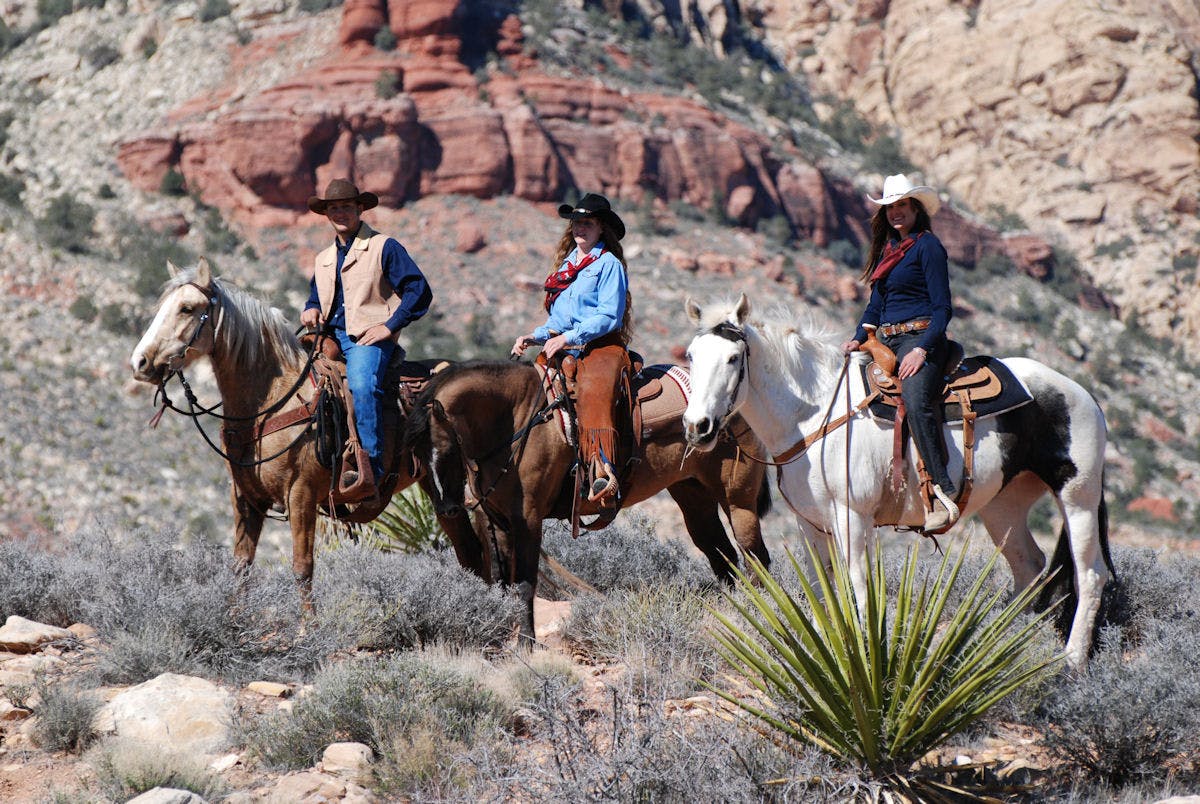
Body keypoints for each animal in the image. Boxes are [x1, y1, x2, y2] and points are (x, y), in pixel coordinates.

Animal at [128, 258, 457, 606]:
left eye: (187, 308)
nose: (140, 362)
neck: (272, 401)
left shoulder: (301, 494)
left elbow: (302, 568)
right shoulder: (245, 496)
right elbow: (241, 568)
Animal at [403, 359, 773, 642]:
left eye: (448, 450)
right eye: (414, 453)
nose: (448, 508)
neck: (516, 421)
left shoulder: (528, 521)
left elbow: (524, 585)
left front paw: (527, 645)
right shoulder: (501, 523)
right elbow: (505, 585)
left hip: (737, 500)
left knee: (755, 557)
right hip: (692, 495)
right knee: (721, 556)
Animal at [681, 295, 1117, 671]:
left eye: (733, 358)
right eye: (691, 355)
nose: (697, 426)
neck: (814, 414)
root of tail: (1084, 394)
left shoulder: (852, 517)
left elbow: (857, 585)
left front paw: (860, 656)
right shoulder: (810, 524)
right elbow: (821, 589)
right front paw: (823, 653)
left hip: (1077, 497)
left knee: (1089, 572)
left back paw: (1072, 661)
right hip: (1003, 507)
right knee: (1029, 567)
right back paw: (999, 646)